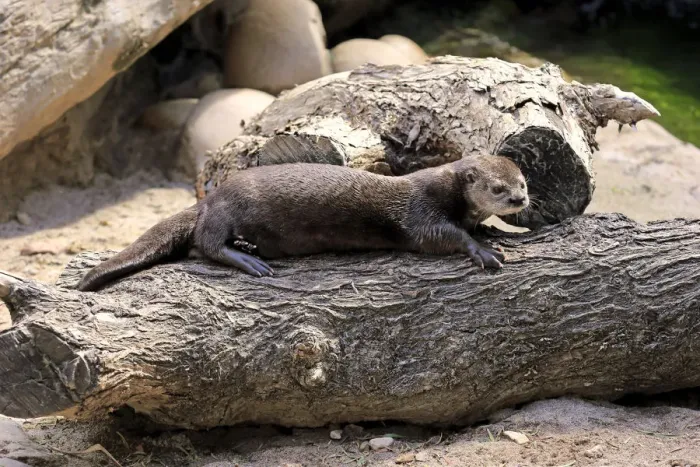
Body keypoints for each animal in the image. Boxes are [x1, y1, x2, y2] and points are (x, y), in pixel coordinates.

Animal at [78, 155, 529, 292]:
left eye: (522, 181)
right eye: (497, 188)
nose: (521, 199)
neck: (445, 189)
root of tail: (211, 198)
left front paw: (487, 231)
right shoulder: (419, 213)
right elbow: (442, 235)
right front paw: (483, 250)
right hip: (228, 207)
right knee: (204, 244)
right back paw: (249, 261)